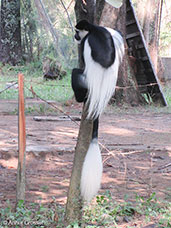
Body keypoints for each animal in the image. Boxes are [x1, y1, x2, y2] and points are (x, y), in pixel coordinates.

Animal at [71, 19, 124, 201]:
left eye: (77, 32)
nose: (75, 37)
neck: (94, 29)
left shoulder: (86, 43)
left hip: (85, 81)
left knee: (76, 74)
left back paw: (80, 98)